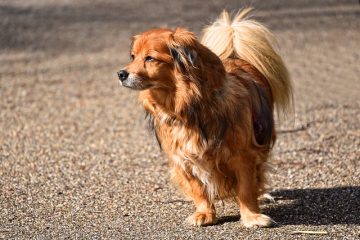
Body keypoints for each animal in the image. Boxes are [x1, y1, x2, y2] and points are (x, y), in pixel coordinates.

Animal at [118, 8, 292, 227]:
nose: (121, 74)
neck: (187, 107)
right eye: (133, 56)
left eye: (150, 58)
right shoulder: (183, 158)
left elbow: (246, 189)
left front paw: (252, 216)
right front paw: (204, 213)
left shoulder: (244, 156)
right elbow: (198, 189)